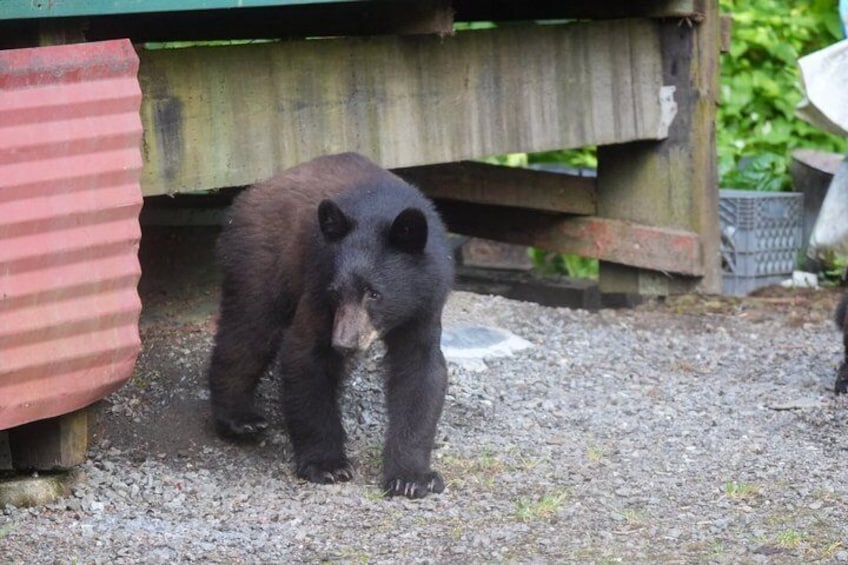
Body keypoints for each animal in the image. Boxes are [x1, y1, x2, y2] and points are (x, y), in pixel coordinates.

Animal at [207, 152, 454, 498]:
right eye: (336, 292)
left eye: (374, 293)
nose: (344, 342)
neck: (380, 208)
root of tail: (254, 189)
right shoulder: (319, 281)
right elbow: (306, 354)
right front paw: (327, 465)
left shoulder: (424, 305)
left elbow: (420, 374)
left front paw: (412, 477)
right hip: (260, 259)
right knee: (249, 330)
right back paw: (239, 418)